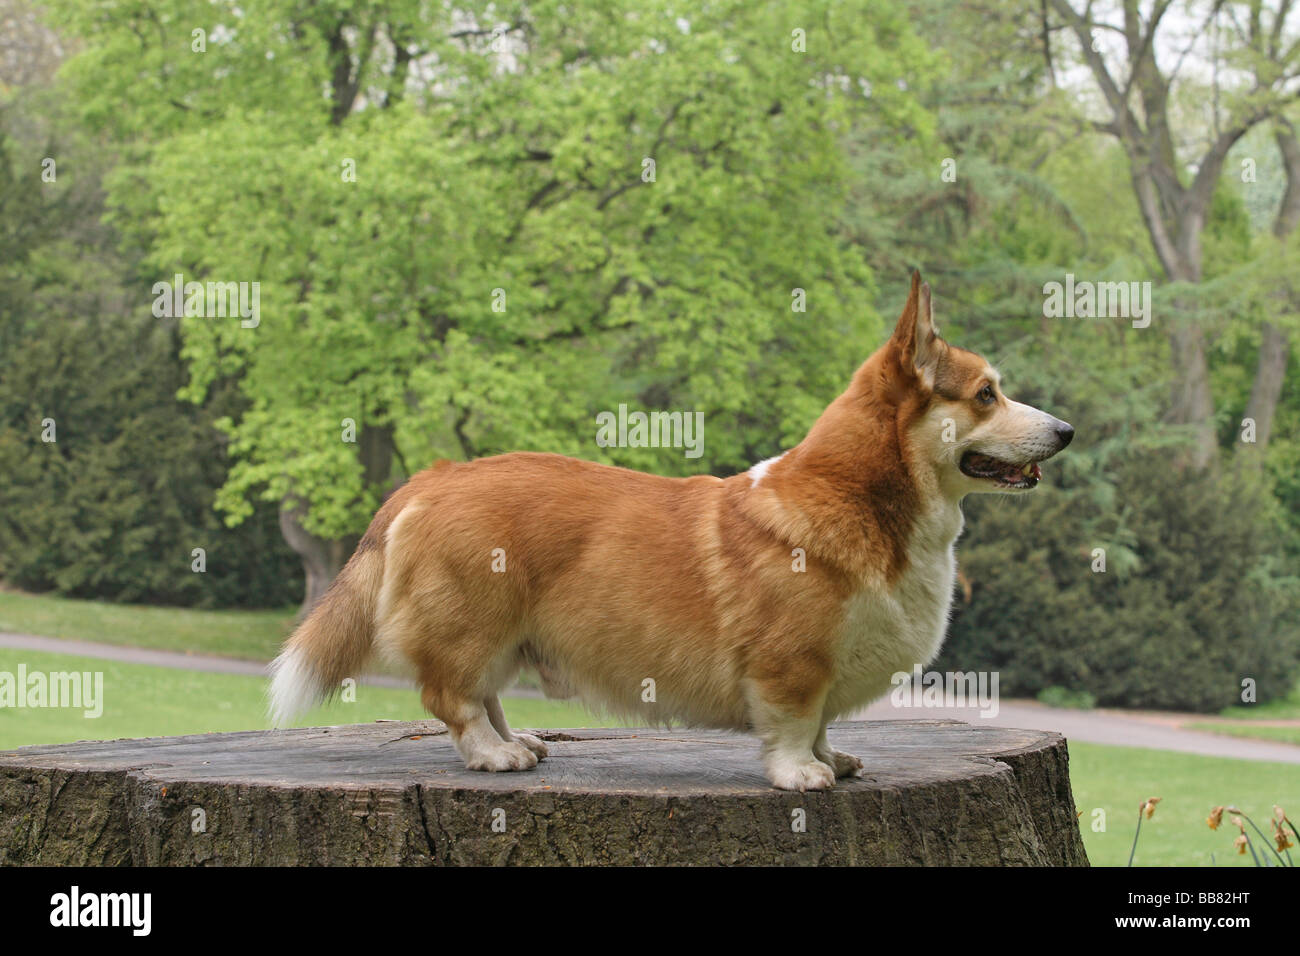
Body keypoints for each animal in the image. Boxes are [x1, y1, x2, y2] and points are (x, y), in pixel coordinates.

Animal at [269, 270, 1071, 790]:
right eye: (986, 395)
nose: (1067, 430)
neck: (865, 500)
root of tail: (430, 477)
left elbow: (822, 723)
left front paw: (834, 760)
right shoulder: (792, 665)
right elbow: (793, 725)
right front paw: (803, 775)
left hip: (499, 637)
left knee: (484, 698)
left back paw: (517, 742)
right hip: (472, 626)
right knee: (453, 700)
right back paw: (494, 757)